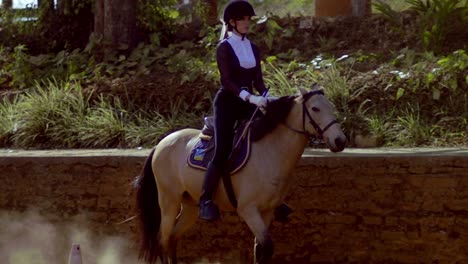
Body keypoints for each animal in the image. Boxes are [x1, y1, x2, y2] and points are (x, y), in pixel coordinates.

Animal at [133, 85, 346, 264]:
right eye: (315, 109)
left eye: (331, 107)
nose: (340, 140)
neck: (270, 152)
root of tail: (162, 142)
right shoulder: (248, 209)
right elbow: (266, 246)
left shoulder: (267, 211)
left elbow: (260, 250)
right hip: (168, 200)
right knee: (163, 239)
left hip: (190, 205)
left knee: (173, 238)